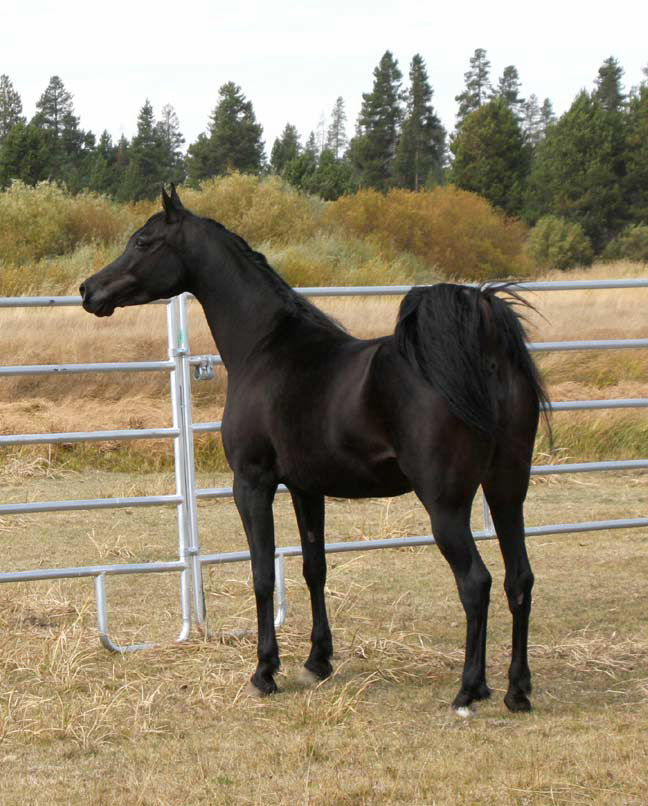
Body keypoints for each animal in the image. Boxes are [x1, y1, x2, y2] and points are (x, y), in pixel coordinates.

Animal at [80, 186, 549, 714]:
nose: (88, 290)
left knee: (476, 583)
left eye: (143, 241)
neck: (267, 348)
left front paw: (265, 672)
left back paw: (469, 689)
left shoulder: (253, 484)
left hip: (446, 506)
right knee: (519, 579)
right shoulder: (307, 489)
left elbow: (263, 574)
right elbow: (313, 568)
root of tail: (485, 353)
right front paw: (317, 661)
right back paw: (515, 689)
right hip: (507, 491)